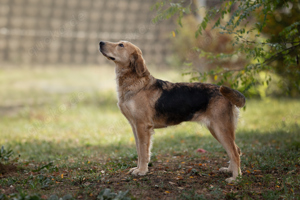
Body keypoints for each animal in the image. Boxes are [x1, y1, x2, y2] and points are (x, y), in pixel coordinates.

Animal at [99, 40, 245, 183]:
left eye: (121, 45)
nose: (100, 42)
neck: (135, 83)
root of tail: (225, 94)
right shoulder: (135, 127)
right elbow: (140, 151)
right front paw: (139, 168)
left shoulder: (143, 126)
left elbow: (143, 152)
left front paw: (142, 171)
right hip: (216, 129)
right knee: (236, 150)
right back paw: (230, 171)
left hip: (221, 129)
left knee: (234, 152)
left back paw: (235, 178)